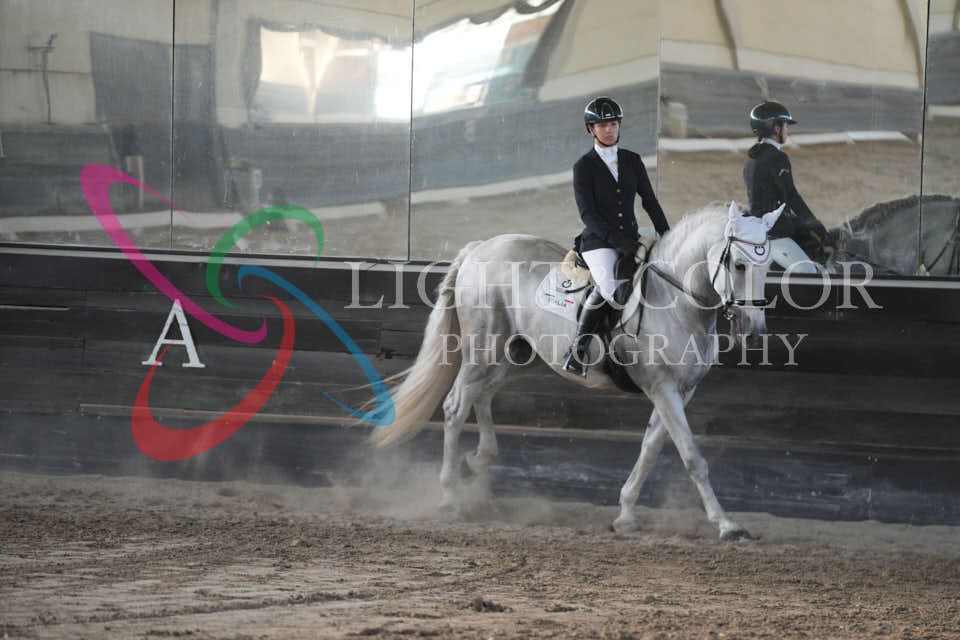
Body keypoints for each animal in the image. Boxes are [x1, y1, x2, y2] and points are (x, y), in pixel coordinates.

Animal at [370, 201, 785, 541]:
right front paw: (727, 525)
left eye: (768, 266)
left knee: (482, 393)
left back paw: (474, 463)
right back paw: (449, 496)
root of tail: (479, 247)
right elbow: (692, 457)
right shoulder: (662, 386)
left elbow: (651, 448)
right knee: (456, 405)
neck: (675, 300)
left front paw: (626, 514)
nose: (754, 332)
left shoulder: (681, 390)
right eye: (739, 265)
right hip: (483, 349)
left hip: (519, 355)